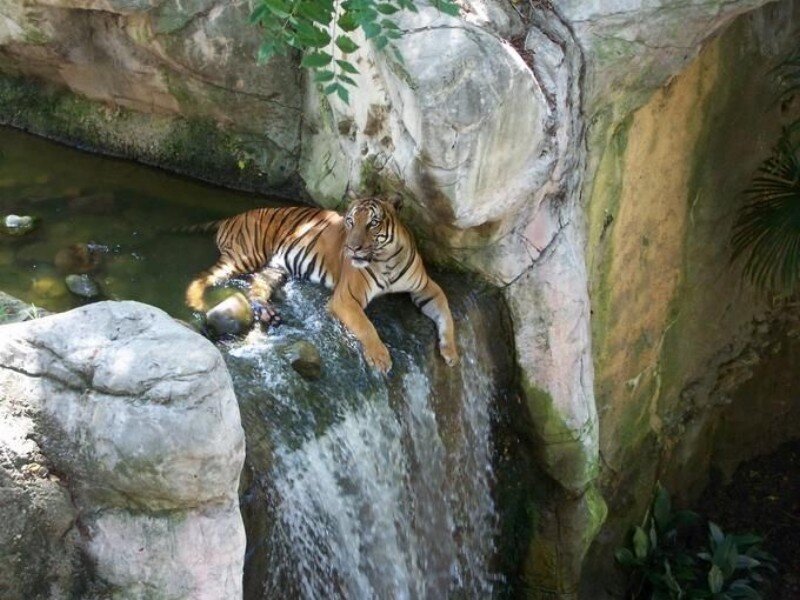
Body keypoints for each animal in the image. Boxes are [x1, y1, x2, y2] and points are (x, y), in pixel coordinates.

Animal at [184, 195, 459, 373]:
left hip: (273, 270)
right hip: (244, 256)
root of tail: (233, 216)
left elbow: (447, 313)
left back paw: (269, 315)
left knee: (255, 290)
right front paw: (380, 357)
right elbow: (366, 326)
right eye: (350, 222)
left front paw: (452, 352)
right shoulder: (346, 298)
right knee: (202, 276)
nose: (352, 247)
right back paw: (195, 301)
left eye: (372, 223)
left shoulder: (427, 287)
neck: (386, 258)